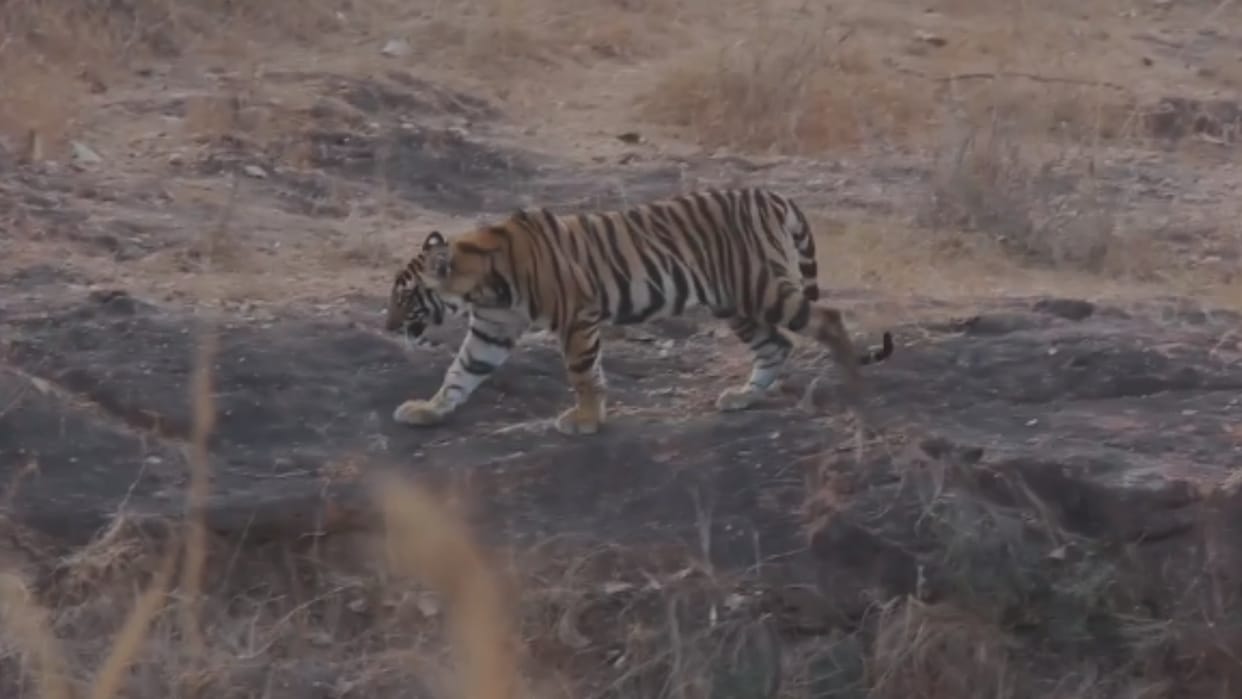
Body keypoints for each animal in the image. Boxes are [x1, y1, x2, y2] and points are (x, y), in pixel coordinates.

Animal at [384, 187, 895, 436]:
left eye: (405, 297)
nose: (387, 327)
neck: (481, 287)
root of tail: (771, 197)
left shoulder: (577, 315)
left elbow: (582, 372)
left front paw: (585, 420)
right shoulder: (492, 330)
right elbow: (460, 373)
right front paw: (428, 410)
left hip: (761, 287)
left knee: (827, 318)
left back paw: (854, 387)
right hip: (734, 302)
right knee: (777, 345)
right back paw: (742, 397)